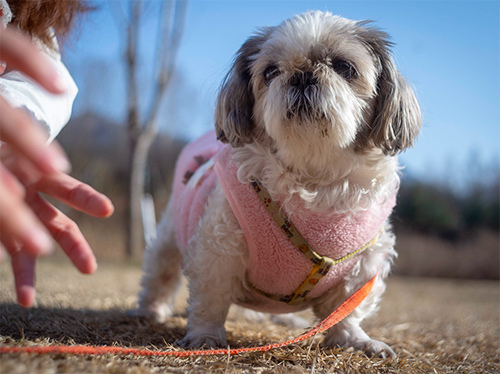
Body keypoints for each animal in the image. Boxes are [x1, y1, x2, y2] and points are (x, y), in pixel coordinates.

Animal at [135, 10, 420, 358]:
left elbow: (346, 310)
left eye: (343, 67)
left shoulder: (364, 263)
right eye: (270, 72)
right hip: (168, 237)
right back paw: (151, 310)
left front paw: (355, 340)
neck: (313, 177)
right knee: (160, 273)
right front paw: (205, 336)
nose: (302, 75)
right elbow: (211, 298)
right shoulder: (219, 248)